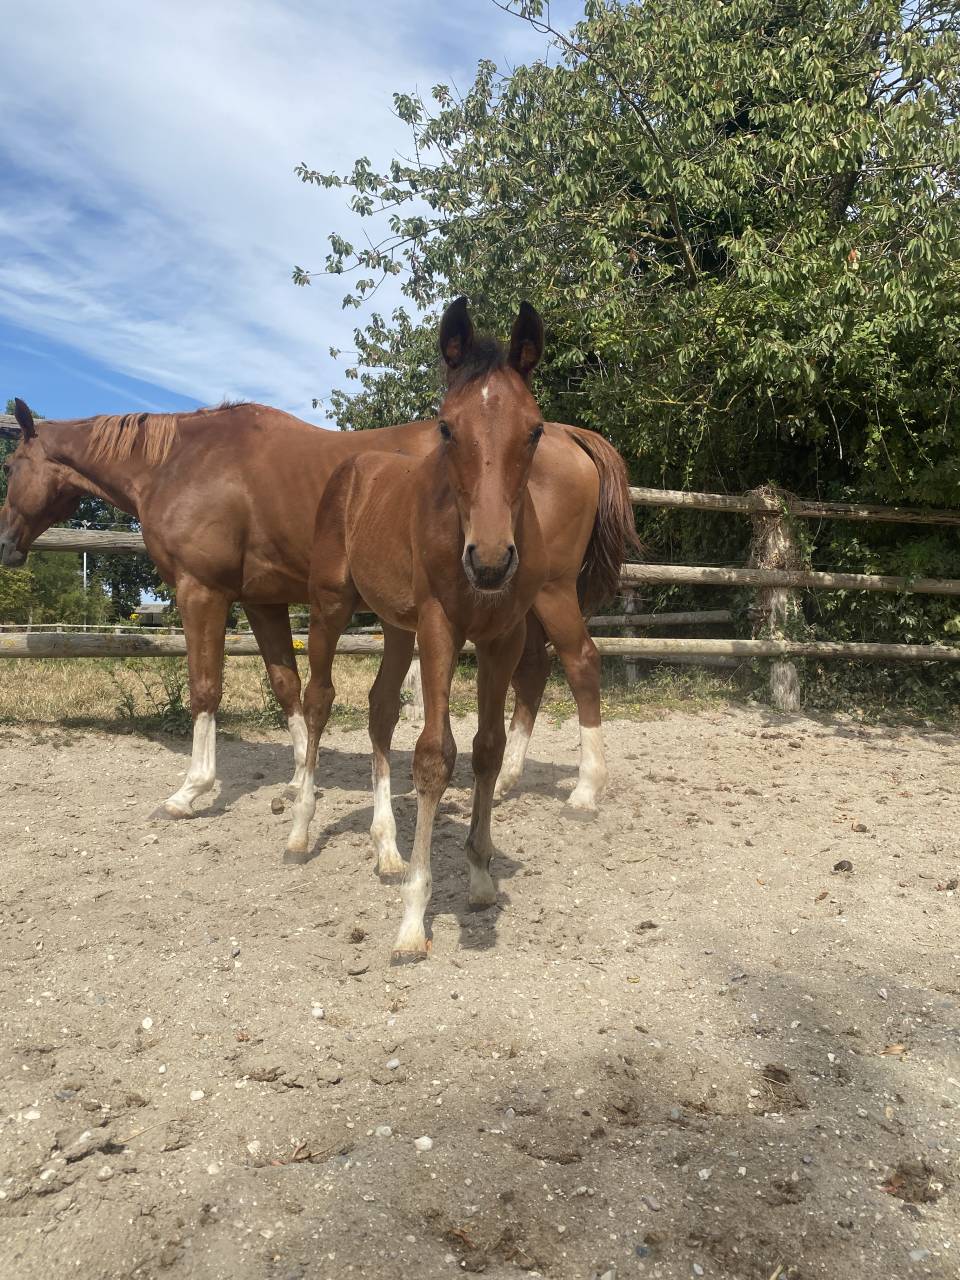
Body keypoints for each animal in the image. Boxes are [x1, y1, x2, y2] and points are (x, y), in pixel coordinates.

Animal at [0, 393, 634, 819]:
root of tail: (563, 435)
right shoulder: (262, 601)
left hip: (550, 591)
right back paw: (505, 781)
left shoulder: (201, 591)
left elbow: (206, 688)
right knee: (534, 672)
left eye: (9, 467)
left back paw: (585, 789)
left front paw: (191, 790)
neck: (185, 462)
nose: (5, 543)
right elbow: (288, 685)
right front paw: (300, 779)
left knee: (581, 662)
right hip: (516, 602)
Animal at [285, 298, 637, 962]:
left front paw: (478, 874)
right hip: (331, 608)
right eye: (446, 428)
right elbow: (433, 755)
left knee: (380, 708)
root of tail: (355, 466)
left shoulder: (501, 636)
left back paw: (387, 849)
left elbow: (487, 749)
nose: (492, 561)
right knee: (319, 699)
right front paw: (412, 923)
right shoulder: (440, 628)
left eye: (533, 430)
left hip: (398, 626)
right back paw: (299, 830)